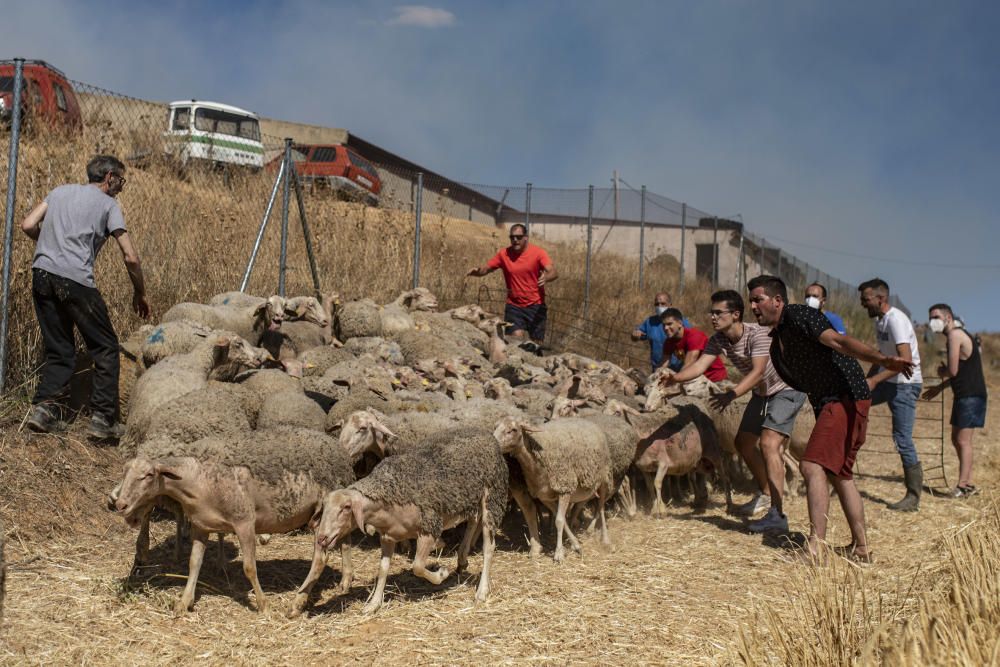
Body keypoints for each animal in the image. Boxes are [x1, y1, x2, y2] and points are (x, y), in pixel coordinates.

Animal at [114, 428, 356, 616]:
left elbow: (249, 567)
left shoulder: (245, 522)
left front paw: (263, 605)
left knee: (320, 559)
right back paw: (345, 580)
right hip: (332, 517)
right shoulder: (200, 526)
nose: (119, 504)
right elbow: (194, 563)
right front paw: (184, 602)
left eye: (148, 475)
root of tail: (341, 454)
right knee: (343, 541)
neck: (199, 479)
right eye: (124, 473)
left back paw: (297, 603)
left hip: (324, 513)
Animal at [312, 430, 508, 612]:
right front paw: (374, 604)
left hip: (492, 496)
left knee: (488, 546)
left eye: (346, 508)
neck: (389, 493)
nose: (321, 538)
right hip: (470, 497)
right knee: (473, 522)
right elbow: (382, 569)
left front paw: (441, 574)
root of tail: (486, 434)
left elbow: (418, 567)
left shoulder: (429, 529)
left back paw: (481, 591)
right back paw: (462, 560)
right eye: (324, 508)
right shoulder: (387, 536)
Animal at [496, 414, 612, 560]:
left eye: (513, 430)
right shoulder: (545, 496)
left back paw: (606, 540)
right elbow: (560, 518)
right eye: (496, 427)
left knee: (601, 508)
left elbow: (559, 521)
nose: (493, 442)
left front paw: (559, 554)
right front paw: (575, 546)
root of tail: (590, 422)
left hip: (604, 479)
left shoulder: (565, 488)